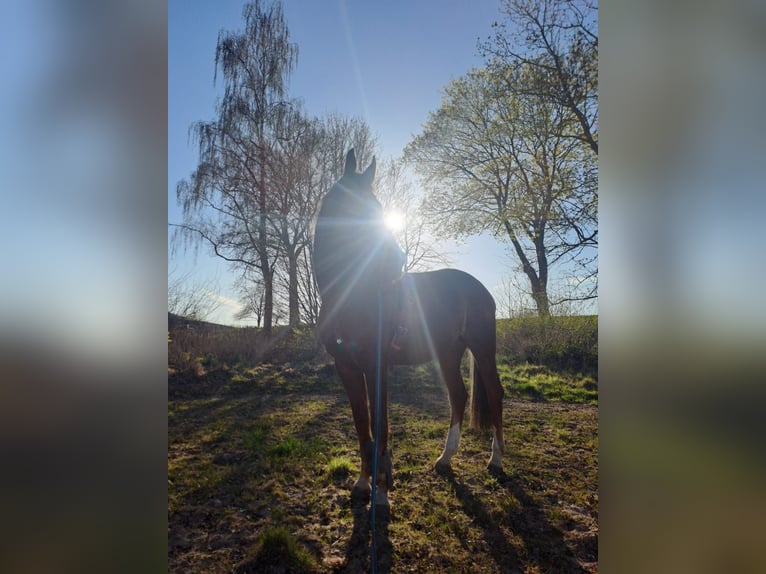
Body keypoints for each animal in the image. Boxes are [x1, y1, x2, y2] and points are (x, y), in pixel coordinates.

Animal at [312, 149, 505, 508]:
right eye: (356, 208)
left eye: (378, 208)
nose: (397, 259)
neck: (350, 294)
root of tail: (480, 288)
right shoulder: (346, 367)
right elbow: (362, 426)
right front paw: (362, 484)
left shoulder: (376, 366)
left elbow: (380, 425)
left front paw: (381, 494)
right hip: (448, 353)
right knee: (458, 395)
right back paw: (444, 460)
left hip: (483, 349)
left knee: (495, 393)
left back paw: (496, 460)